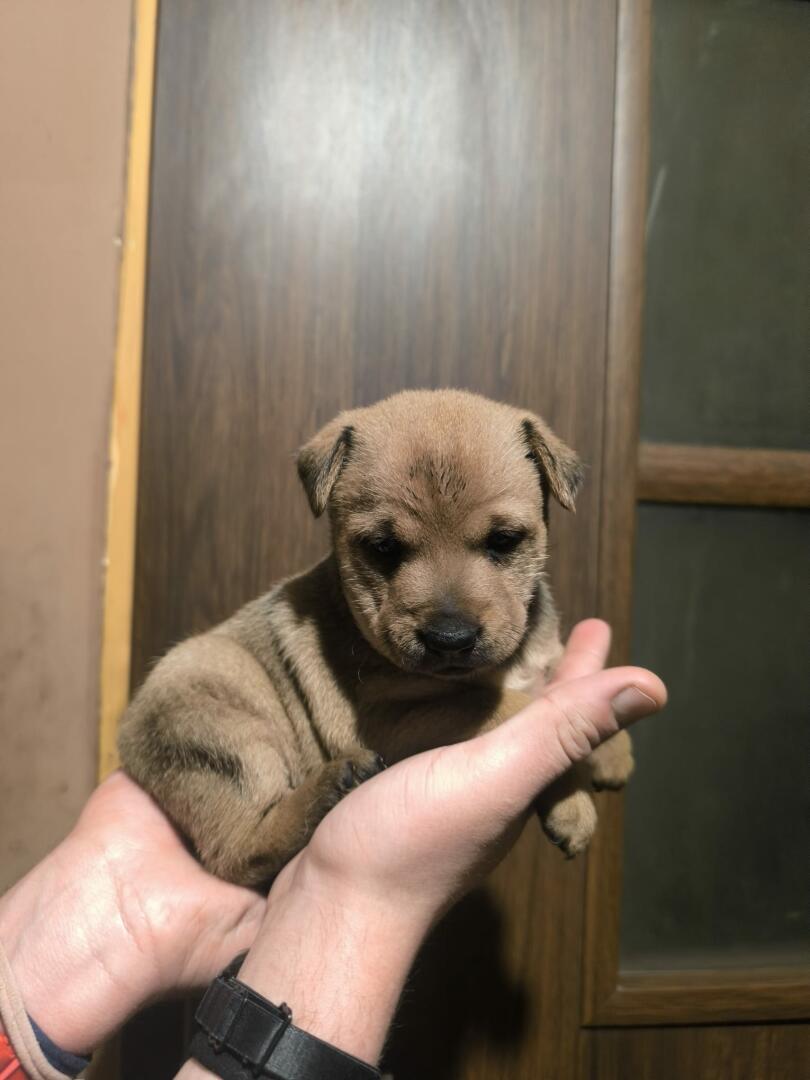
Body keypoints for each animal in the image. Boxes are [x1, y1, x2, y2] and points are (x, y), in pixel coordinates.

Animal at [118, 390, 633, 887]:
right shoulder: (392, 718)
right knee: (236, 850)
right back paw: (331, 786)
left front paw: (611, 751)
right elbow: (514, 706)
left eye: (504, 541)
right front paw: (577, 804)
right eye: (383, 548)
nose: (450, 637)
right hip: (216, 727)